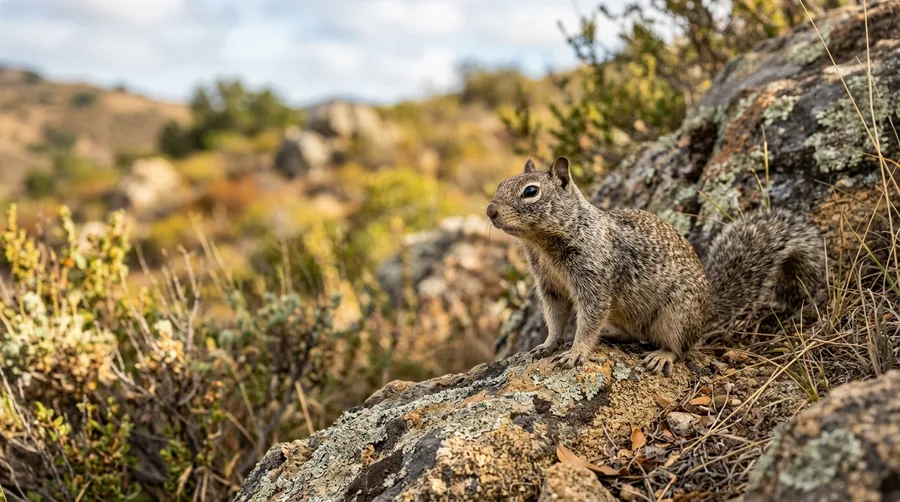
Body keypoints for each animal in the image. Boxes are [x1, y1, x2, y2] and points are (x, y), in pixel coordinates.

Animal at [486, 156, 825, 375]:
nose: (490, 210)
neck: (543, 245)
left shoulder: (595, 279)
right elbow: (556, 319)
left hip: (677, 315)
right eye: (500, 184)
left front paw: (576, 352)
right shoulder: (550, 286)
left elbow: (589, 319)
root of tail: (705, 311)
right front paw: (547, 345)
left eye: (531, 191)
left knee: (680, 347)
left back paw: (662, 356)